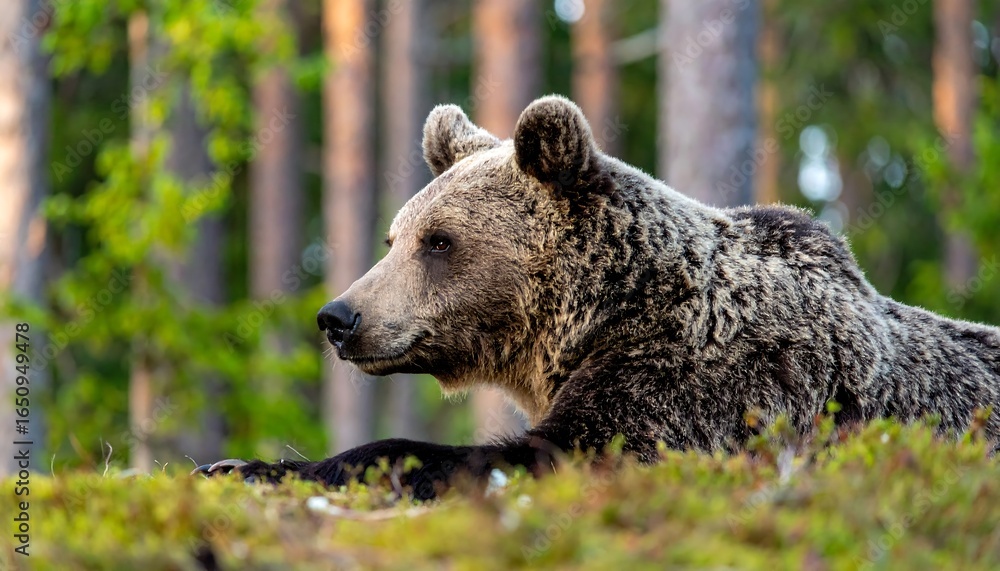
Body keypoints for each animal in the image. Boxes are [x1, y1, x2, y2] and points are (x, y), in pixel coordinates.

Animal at [197, 95, 1000, 499]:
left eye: (439, 241)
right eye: (394, 237)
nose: (339, 316)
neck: (597, 317)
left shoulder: (703, 384)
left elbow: (560, 451)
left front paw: (247, 467)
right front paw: (234, 462)